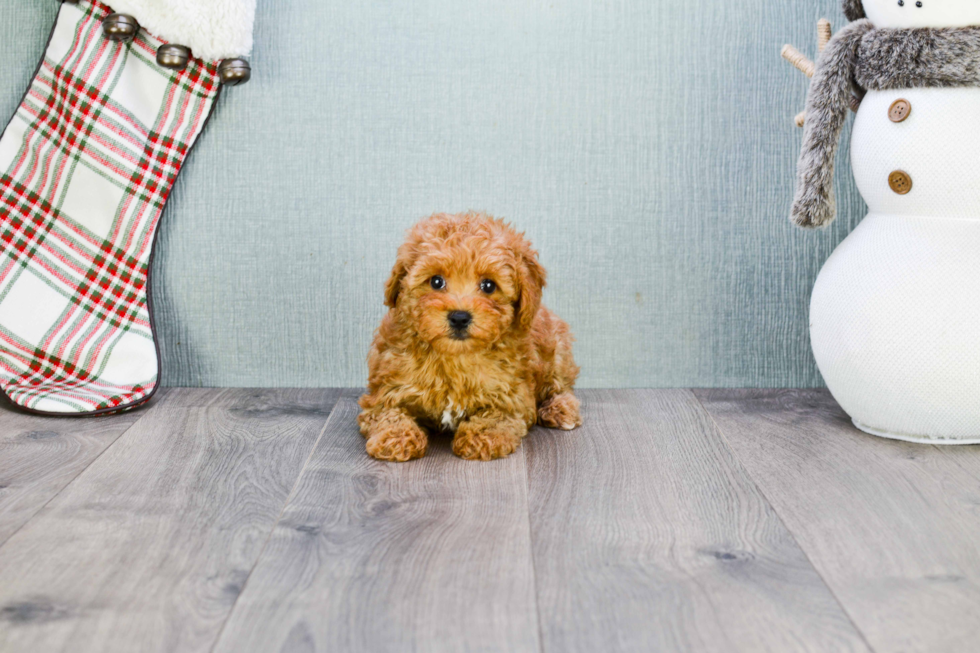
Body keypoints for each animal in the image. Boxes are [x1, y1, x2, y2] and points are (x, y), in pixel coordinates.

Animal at [356, 211, 580, 460]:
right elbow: (387, 413)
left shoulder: (512, 398)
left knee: (561, 385)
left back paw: (561, 409)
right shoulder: (386, 391)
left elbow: (497, 417)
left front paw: (481, 437)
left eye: (489, 285)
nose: (460, 317)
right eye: (436, 281)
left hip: (557, 348)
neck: (455, 358)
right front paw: (396, 438)